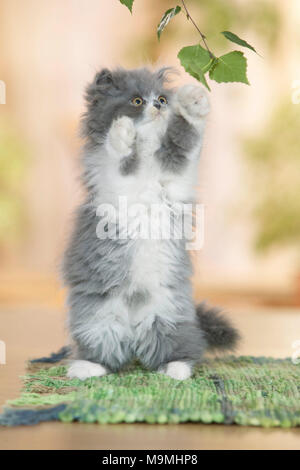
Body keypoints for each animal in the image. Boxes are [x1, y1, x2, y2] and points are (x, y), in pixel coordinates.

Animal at [62, 67, 239, 382]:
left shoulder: (177, 173)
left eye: (162, 99)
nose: (157, 105)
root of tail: (133, 330)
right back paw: (87, 368)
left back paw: (176, 369)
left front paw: (193, 101)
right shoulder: (112, 182)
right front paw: (121, 132)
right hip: (97, 318)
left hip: (169, 314)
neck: (144, 156)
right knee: (107, 354)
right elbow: (115, 155)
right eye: (136, 101)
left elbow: (189, 137)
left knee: (174, 349)